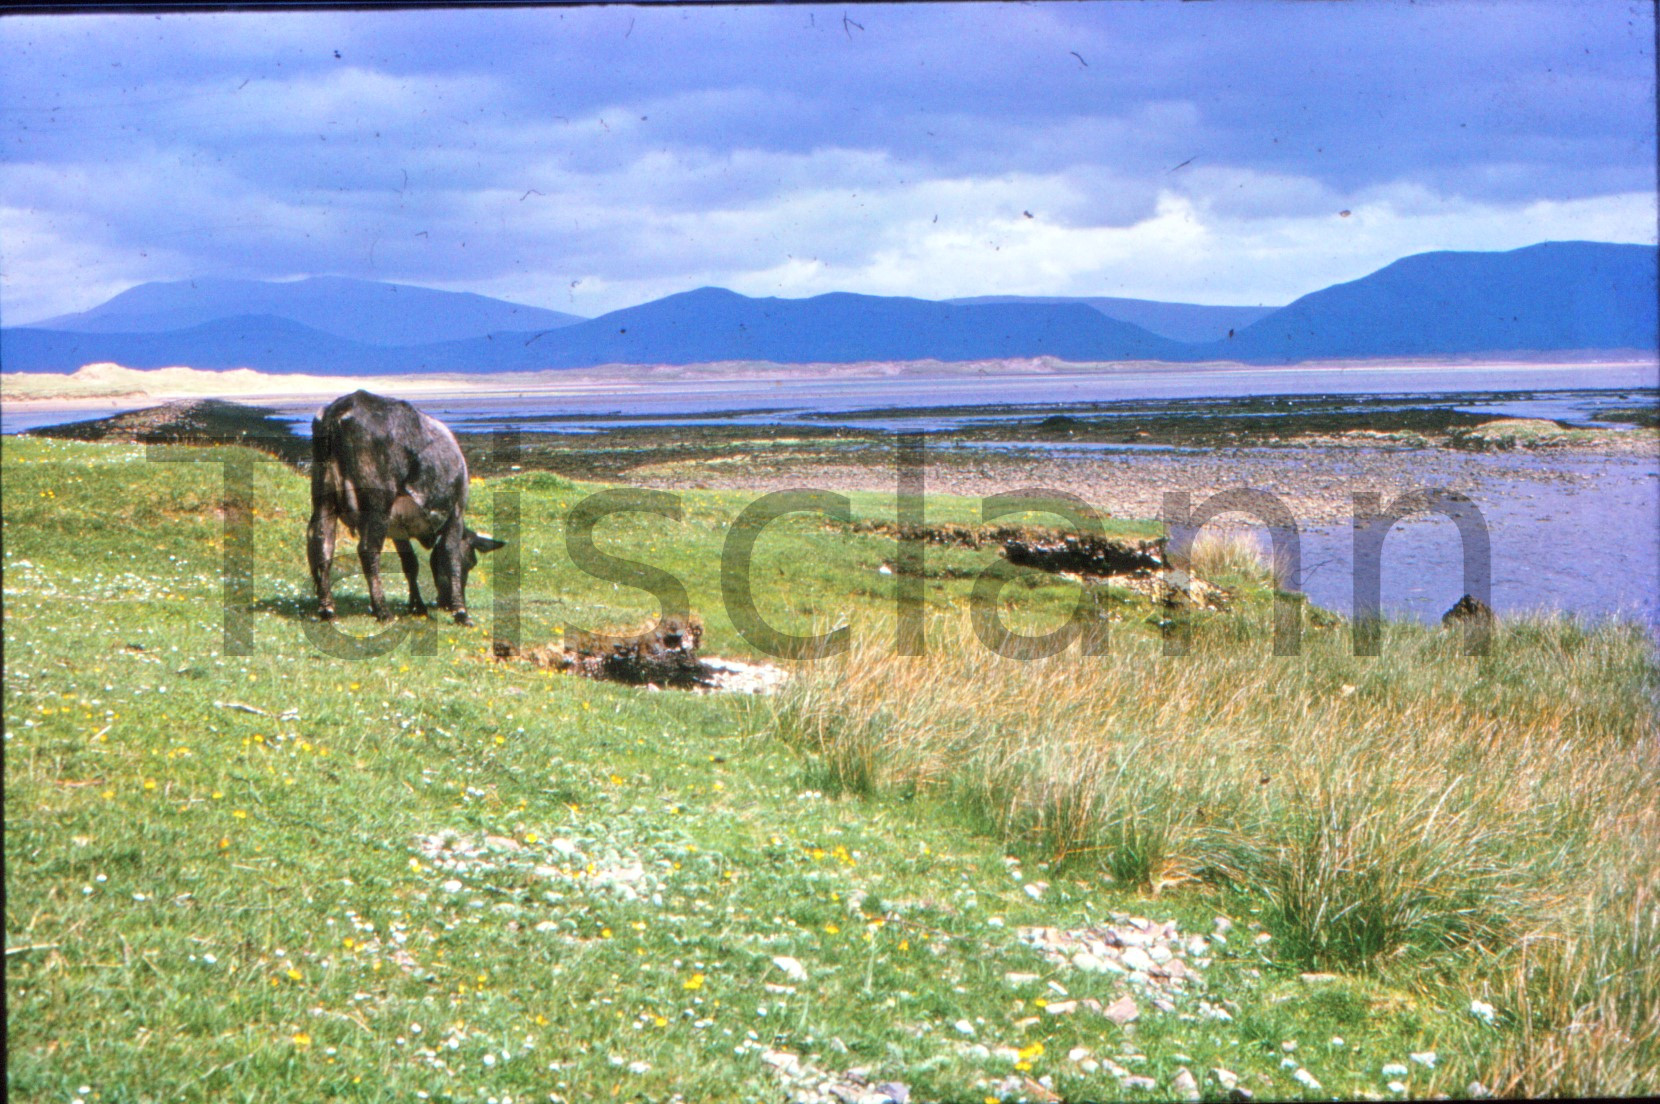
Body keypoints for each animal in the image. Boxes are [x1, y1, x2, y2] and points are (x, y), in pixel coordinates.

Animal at [305, 391, 498, 624]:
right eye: (471, 562)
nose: (443, 603)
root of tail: (343, 407)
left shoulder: (398, 527)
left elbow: (410, 564)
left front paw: (418, 606)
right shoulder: (456, 512)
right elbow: (451, 556)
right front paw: (461, 612)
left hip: (324, 499)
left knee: (321, 543)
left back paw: (327, 607)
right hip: (378, 503)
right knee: (367, 550)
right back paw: (382, 610)